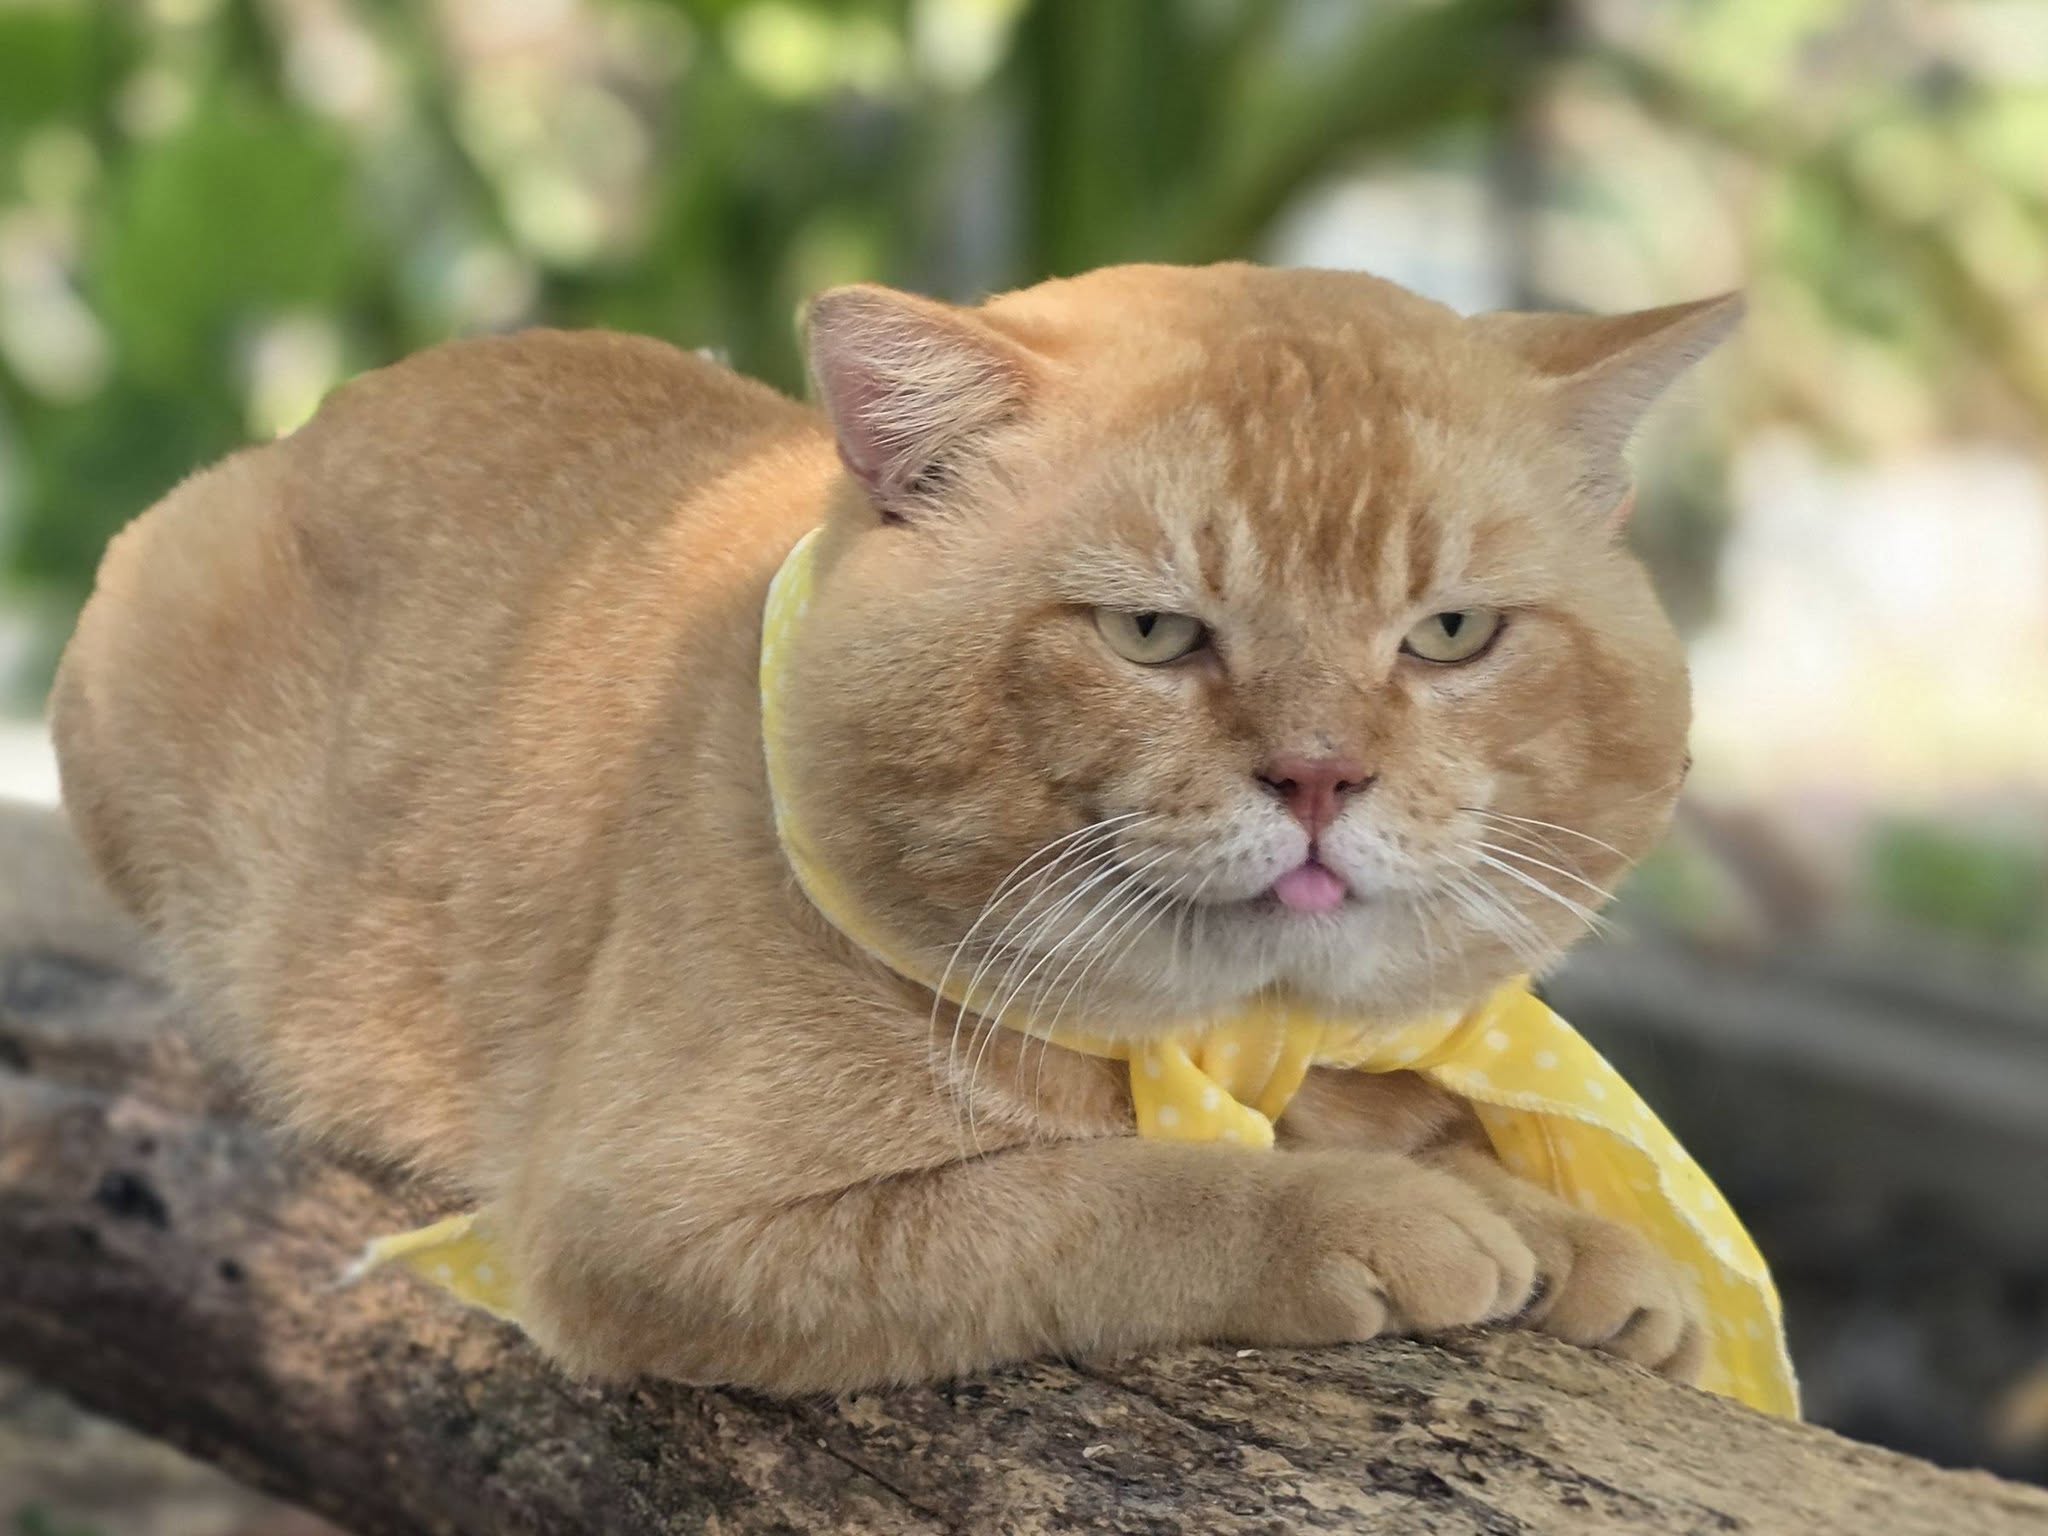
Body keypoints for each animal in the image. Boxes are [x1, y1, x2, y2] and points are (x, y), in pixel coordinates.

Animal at [51, 262, 1734, 1393]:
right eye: (1150, 633)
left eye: (1450, 633)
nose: (1320, 775)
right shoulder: (652, 1226)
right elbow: (1093, 1201)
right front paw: (1374, 1215)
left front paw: (1566, 1225)